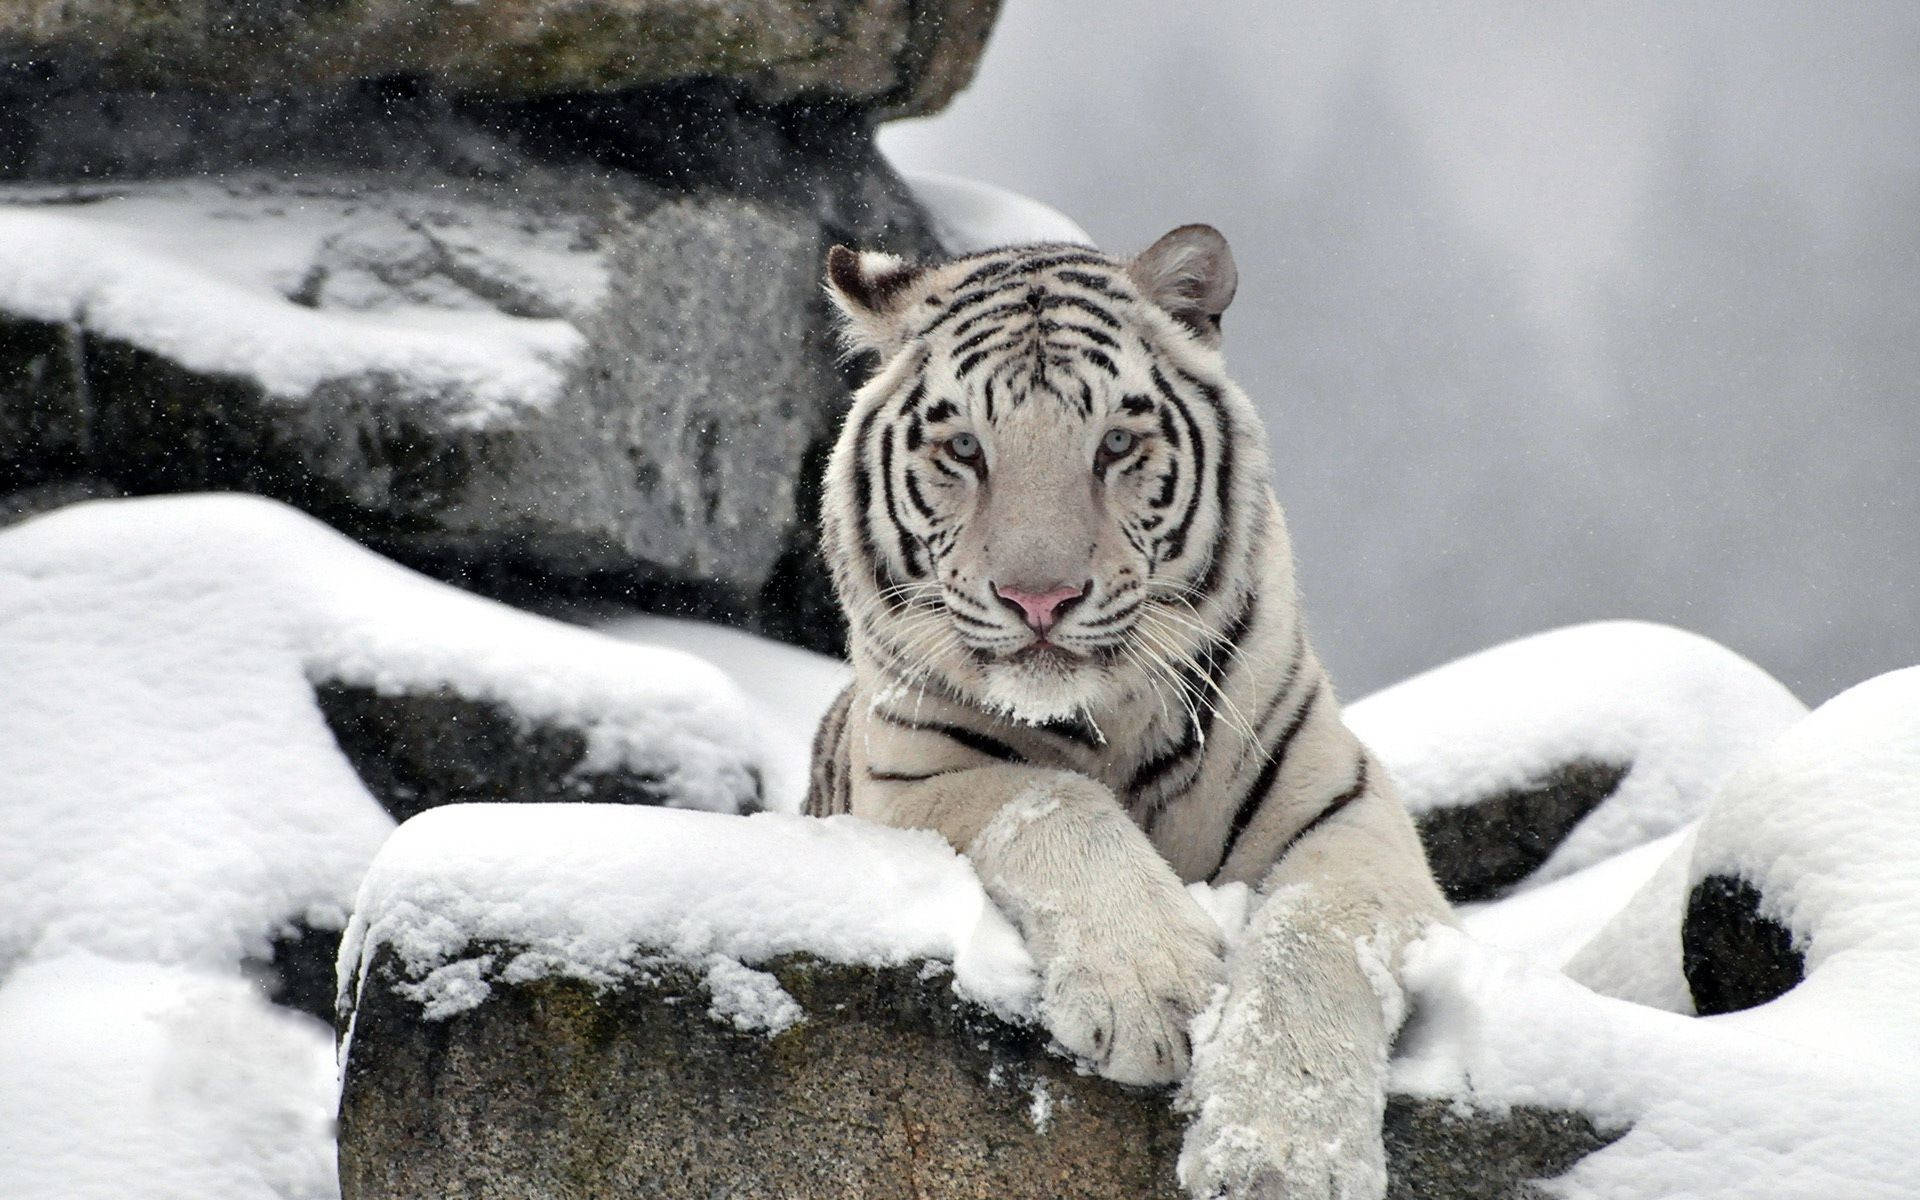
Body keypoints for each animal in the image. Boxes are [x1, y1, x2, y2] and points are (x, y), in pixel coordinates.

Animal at [806, 225, 1452, 1199]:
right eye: (964, 448)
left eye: (1114, 443)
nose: (1039, 599)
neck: (1106, 722)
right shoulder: (912, 778)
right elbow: (1051, 803)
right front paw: (1154, 991)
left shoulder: (1350, 811)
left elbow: (1315, 934)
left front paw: (1279, 1158)